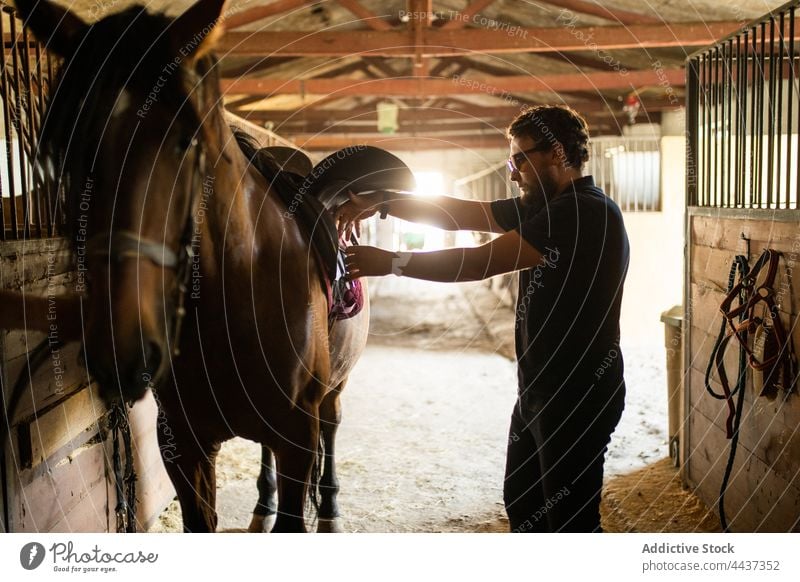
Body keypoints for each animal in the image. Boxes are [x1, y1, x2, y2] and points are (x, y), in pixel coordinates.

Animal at [16, 0, 368, 536]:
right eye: (64, 152)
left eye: (185, 140)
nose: (121, 341)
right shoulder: (183, 444)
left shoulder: (297, 438)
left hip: (332, 395)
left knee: (333, 424)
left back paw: (329, 510)